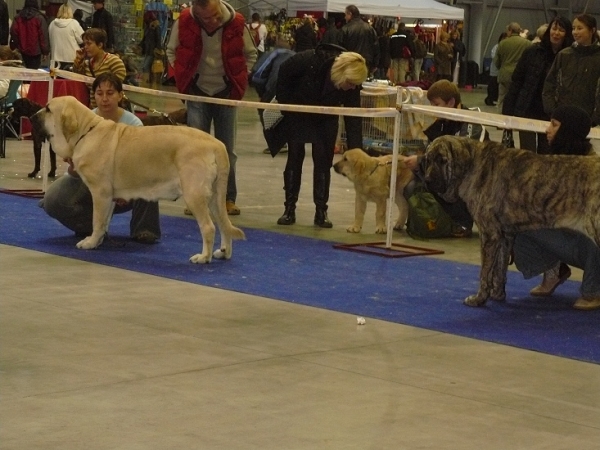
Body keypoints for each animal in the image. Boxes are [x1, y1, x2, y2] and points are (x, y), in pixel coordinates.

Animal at [422, 135, 600, 308]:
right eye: (428, 160)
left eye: (442, 160)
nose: (428, 180)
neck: (473, 165)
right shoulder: (505, 236)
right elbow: (499, 269)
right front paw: (498, 294)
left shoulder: (489, 235)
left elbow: (485, 272)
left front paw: (479, 299)